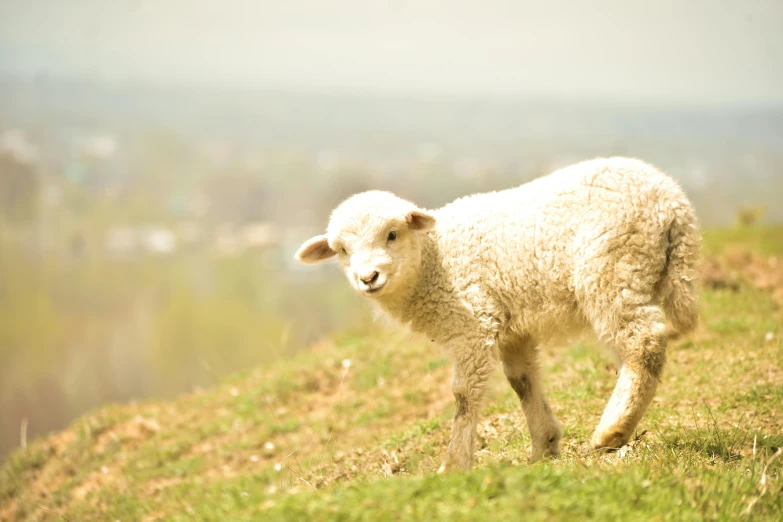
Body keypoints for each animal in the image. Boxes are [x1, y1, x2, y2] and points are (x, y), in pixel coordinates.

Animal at [298, 155, 700, 472]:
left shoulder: (473, 324)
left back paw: (612, 431)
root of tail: (673, 202)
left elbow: (463, 395)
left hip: (611, 267)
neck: (433, 261)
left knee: (644, 343)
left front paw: (455, 464)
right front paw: (544, 446)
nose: (368, 278)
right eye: (342, 250)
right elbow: (522, 382)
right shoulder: (511, 328)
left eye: (393, 234)